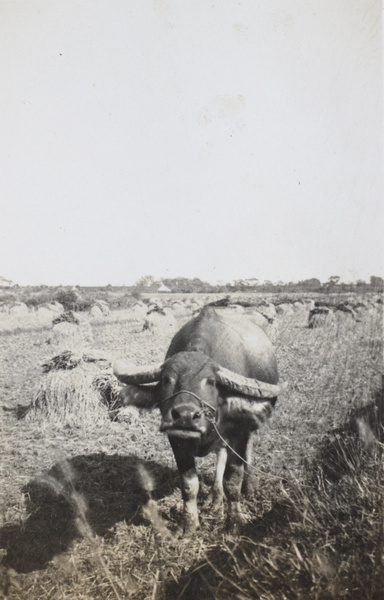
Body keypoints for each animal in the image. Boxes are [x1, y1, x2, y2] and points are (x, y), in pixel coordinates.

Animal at [112, 308, 284, 532]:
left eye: (210, 381)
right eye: (166, 380)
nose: (185, 416)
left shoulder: (239, 433)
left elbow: (233, 480)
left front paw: (235, 520)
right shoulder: (177, 439)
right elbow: (189, 484)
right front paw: (189, 523)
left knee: (246, 452)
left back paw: (249, 486)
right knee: (220, 455)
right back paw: (215, 497)